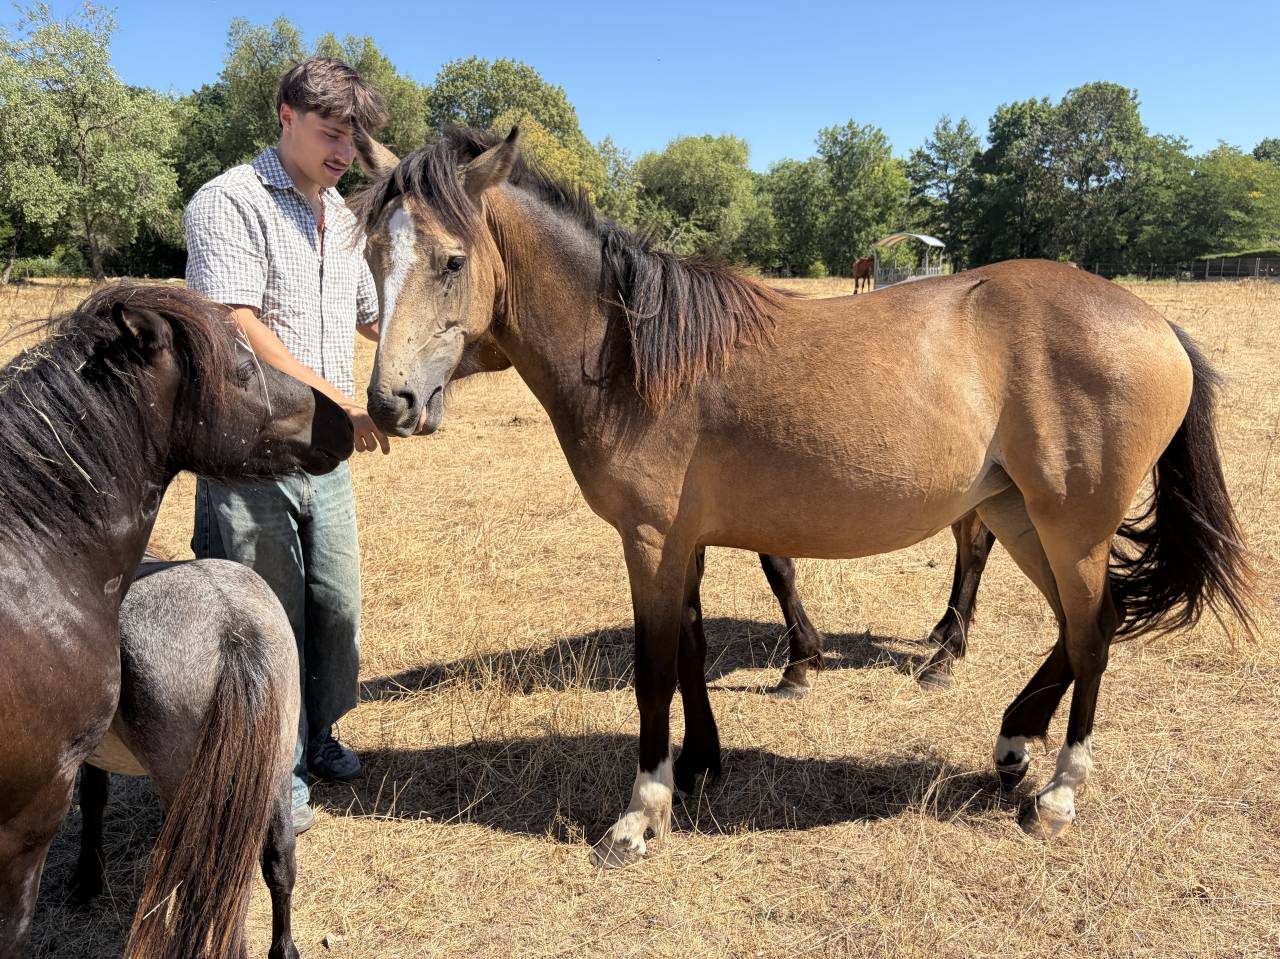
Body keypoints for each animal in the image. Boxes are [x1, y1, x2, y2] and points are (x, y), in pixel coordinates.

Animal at [73, 554, 301, 959]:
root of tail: (233, 626)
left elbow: (93, 799)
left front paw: (87, 878)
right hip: (275, 767)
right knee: (277, 860)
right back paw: (283, 948)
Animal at [352, 128, 1254, 869]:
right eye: (371, 257)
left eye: (452, 260)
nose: (389, 404)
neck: (638, 355)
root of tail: (1157, 324)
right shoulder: (685, 542)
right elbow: (690, 650)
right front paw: (701, 764)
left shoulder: (649, 539)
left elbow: (654, 669)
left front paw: (642, 812)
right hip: (1019, 511)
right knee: (1081, 621)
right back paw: (1011, 741)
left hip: (1072, 524)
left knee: (1093, 631)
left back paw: (1059, 789)